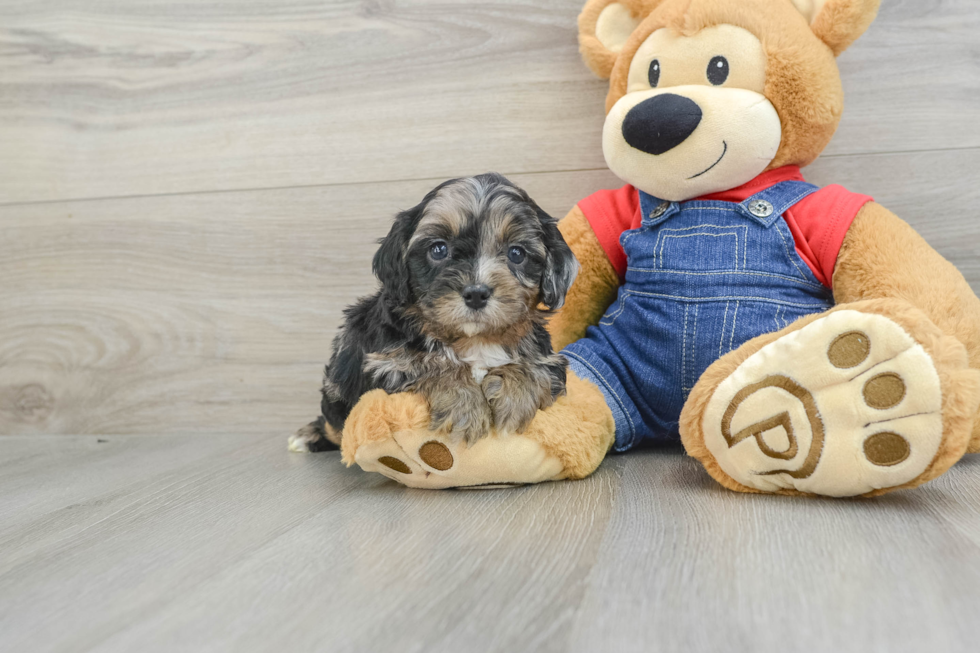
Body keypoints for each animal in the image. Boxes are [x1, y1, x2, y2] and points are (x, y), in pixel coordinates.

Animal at [290, 172, 580, 454]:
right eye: (439, 249)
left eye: (517, 253)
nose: (476, 293)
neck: (474, 339)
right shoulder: (382, 362)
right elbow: (427, 362)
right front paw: (466, 408)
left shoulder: (547, 356)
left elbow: (534, 364)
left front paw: (515, 396)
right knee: (333, 424)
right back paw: (308, 435)